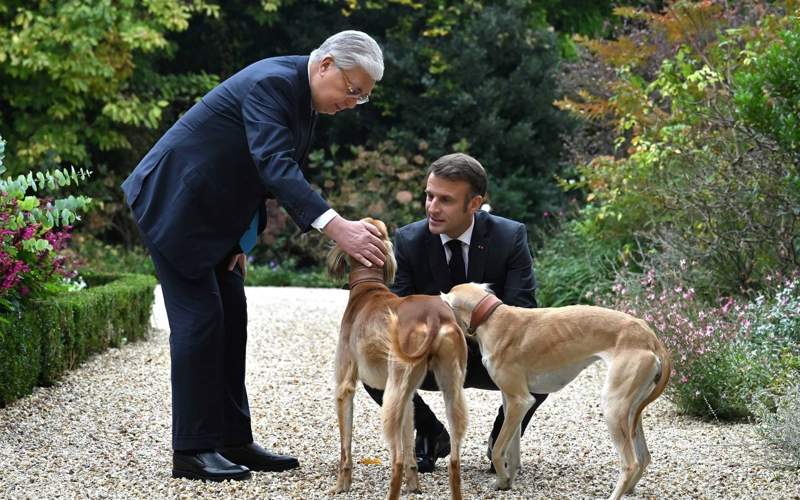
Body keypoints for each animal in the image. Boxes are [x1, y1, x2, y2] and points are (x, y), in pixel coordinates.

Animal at [328, 219, 468, 500]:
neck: (367, 287)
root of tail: (434, 315)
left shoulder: (345, 387)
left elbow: (345, 449)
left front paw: (341, 485)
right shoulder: (410, 395)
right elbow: (410, 449)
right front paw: (414, 486)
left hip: (392, 393)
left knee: (397, 461)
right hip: (449, 389)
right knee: (454, 461)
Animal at [440, 284, 672, 498]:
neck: (494, 319)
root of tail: (651, 338)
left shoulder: (520, 400)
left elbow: (497, 449)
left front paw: (503, 478)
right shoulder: (512, 402)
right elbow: (512, 451)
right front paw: (506, 481)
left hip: (613, 407)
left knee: (631, 463)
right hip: (631, 410)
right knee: (644, 457)